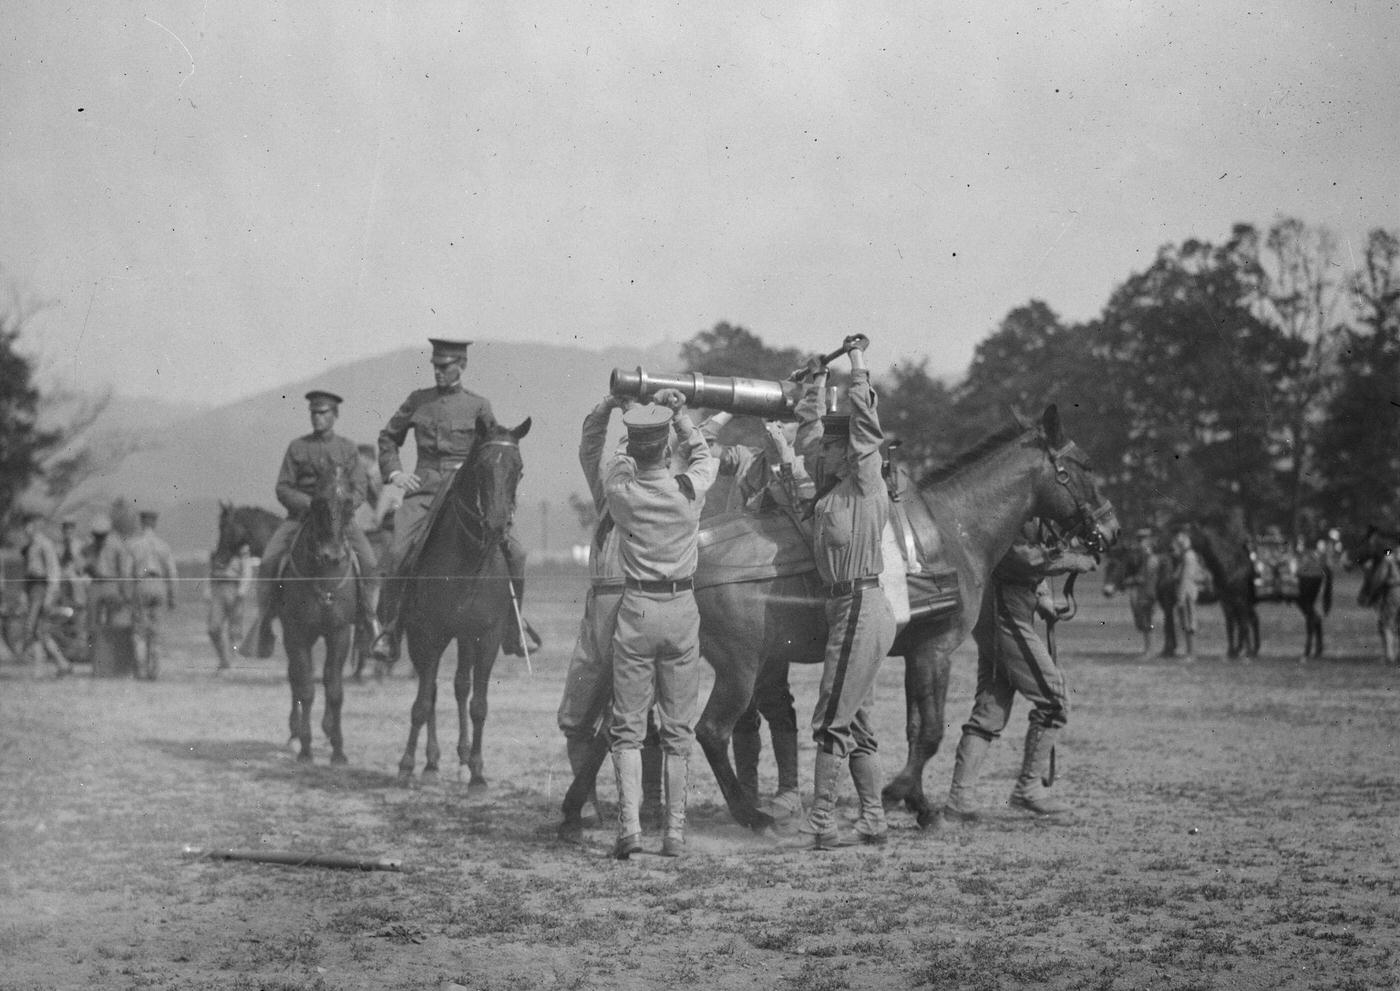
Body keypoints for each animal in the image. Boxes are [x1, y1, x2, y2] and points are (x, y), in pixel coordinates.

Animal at [277, 467, 358, 761]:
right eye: (317, 502)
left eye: (348, 503)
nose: (332, 556)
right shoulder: (297, 633)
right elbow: (306, 688)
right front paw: (305, 748)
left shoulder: (340, 633)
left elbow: (334, 689)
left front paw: (338, 750)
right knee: (295, 678)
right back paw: (294, 736)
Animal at [397, 419, 532, 789]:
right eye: (481, 468)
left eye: (518, 469)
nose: (497, 525)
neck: (469, 561)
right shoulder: (430, 634)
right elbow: (423, 701)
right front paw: (407, 766)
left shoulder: (486, 637)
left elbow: (478, 704)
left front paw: (477, 773)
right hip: (421, 638)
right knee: (432, 691)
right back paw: (430, 763)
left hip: (465, 639)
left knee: (460, 687)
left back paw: (459, 760)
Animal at [557, 405, 1114, 834]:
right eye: (1084, 464)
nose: (1109, 526)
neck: (954, 530)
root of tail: (684, 561)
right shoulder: (936, 648)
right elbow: (931, 731)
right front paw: (905, 796)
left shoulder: (910, 652)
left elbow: (915, 727)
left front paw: (915, 800)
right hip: (738, 667)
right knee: (711, 731)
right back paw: (752, 815)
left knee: (614, 730)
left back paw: (574, 813)